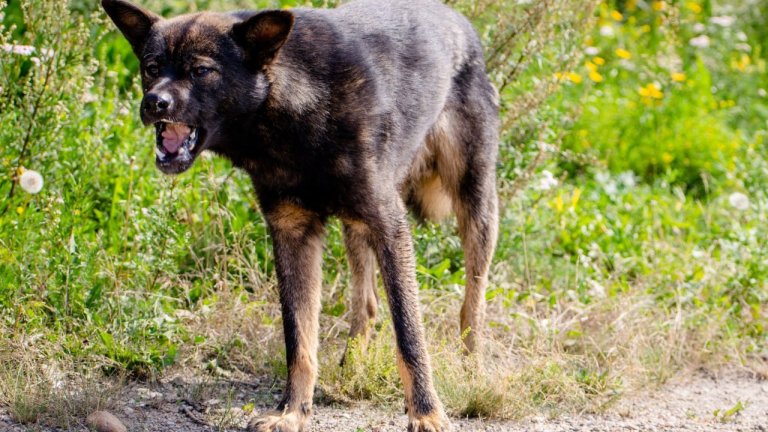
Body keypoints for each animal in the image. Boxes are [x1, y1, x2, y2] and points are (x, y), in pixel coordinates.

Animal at [100, 1, 498, 430]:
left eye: (201, 71)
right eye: (151, 67)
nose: (153, 103)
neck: (294, 112)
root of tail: (456, 19)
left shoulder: (391, 227)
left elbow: (410, 334)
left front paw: (426, 413)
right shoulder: (293, 234)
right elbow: (299, 339)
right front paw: (292, 411)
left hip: (474, 206)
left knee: (472, 306)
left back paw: (473, 370)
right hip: (356, 226)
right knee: (367, 304)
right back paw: (352, 368)